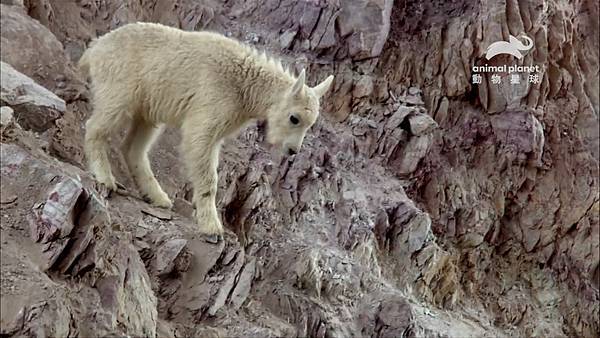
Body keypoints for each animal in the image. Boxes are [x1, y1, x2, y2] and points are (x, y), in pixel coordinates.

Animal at [78, 23, 336, 238]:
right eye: (295, 118)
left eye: (311, 123)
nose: (292, 150)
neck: (246, 86)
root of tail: (94, 48)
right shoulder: (210, 108)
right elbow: (204, 160)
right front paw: (212, 226)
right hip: (119, 87)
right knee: (98, 125)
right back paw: (105, 177)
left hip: (148, 108)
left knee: (134, 146)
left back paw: (157, 196)